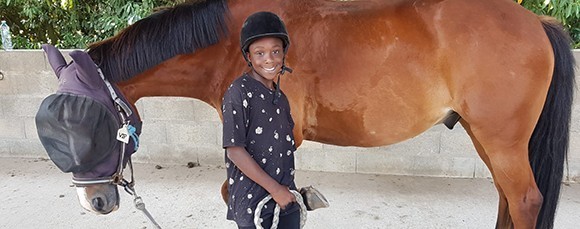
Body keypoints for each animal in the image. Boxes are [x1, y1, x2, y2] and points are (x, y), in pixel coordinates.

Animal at [73, 0, 576, 227]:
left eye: (89, 124)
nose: (95, 201)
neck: (233, 44)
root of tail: (536, 21)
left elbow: (239, 194)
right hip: (483, 134)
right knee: (507, 197)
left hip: (502, 139)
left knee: (525, 200)